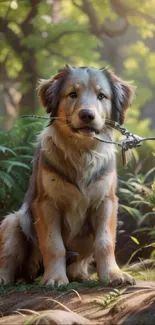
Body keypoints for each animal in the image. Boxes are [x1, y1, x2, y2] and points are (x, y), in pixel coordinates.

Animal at [0, 66, 136, 284]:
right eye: (72, 94)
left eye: (101, 96)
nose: (87, 115)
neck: (81, 152)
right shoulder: (46, 204)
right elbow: (54, 245)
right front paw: (55, 277)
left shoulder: (106, 202)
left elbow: (105, 242)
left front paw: (113, 274)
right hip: (14, 222)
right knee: (8, 260)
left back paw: (80, 275)